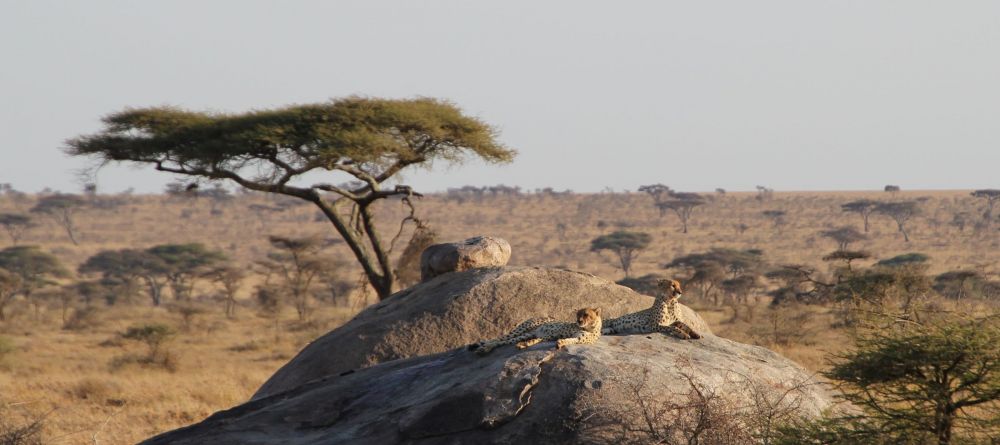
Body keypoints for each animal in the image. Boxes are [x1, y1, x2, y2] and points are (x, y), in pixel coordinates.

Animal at [468, 306, 600, 356]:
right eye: (578, 315)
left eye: (586, 315)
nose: (579, 321)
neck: (590, 328)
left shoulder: (578, 338)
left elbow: (570, 340)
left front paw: (560, 343)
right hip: (521, 329)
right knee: (498, 339)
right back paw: (483, 346)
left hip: (526, 334)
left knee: (504, 342)